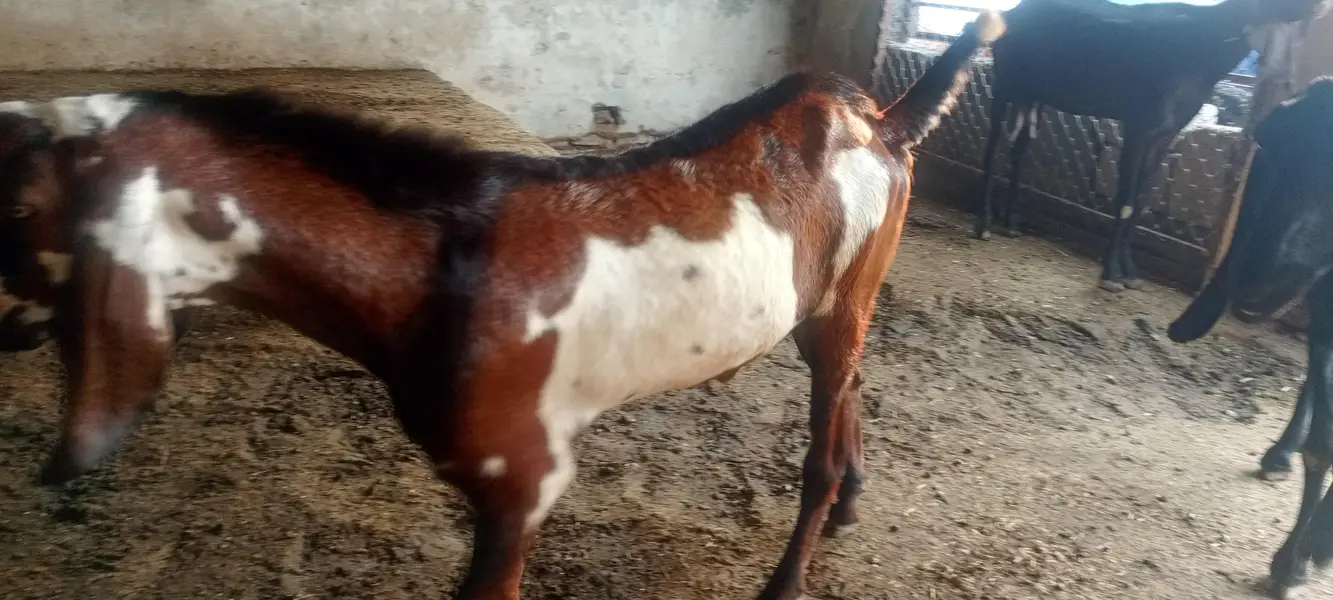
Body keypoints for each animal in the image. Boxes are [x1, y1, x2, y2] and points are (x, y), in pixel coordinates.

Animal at [0, 13, 1004, 600]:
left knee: (821, 435)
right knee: (852, 381)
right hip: (833, 300)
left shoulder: (523, 478)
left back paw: (793, 568)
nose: (8, 329)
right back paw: (851, 501)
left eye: (16, 208)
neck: (439, 266)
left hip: (842, 296)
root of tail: (878, 120)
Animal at [973, 0, 1329, 292]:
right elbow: (1126, 200)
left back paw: (1012, 222)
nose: (1321, 5)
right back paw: (984, 224)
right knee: (992, 148)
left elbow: (1142, 200)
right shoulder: (1139, 123)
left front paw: (1130, 271)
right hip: (1005, 83)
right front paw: (1112, 273)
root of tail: (1011, 13)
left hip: (1033, 96)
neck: (1205, 44)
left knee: (1020, 151)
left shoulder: (1168, 133)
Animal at [1167, 76, 1333, 600]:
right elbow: (1324, 444)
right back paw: (1281, 451)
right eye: (1272, 148)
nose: (1253, 290)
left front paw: (1315, 544)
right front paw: (1294, 561)